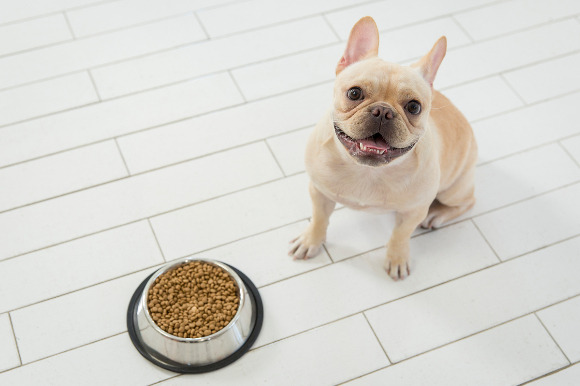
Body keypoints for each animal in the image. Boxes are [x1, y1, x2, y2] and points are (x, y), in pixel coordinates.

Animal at [288, 15, 476, 280]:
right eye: (354, 93)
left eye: (414, 107)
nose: (383, 111)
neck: (368, 171)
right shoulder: (320, 192)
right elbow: (319, 219)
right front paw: (311, 241)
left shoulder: (413, 211)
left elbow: (400, 235)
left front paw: (397, 258)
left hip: (452, 189)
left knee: (468, 201)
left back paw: (437, 214)